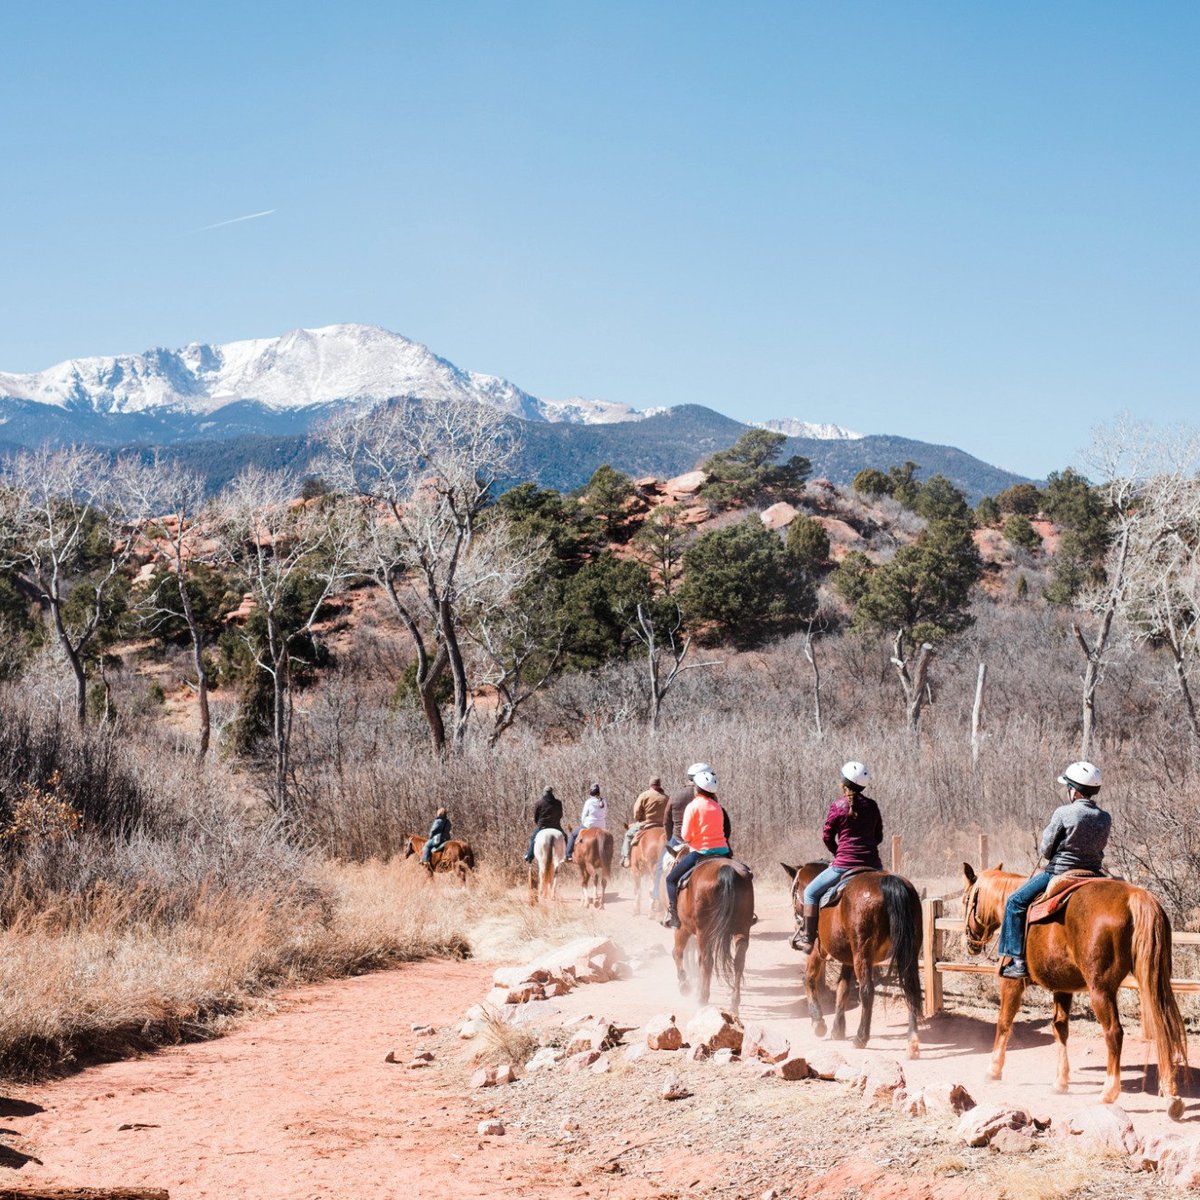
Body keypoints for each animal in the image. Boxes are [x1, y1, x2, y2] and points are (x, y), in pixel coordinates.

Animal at [672, 859, 753, 1017]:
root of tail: (725, 870)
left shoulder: (683, 927)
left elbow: (677, 953)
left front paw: (684, 986)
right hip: (742, 930)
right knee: (738, 962)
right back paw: (734, 1004)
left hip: (703, 932)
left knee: (707, 961)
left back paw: (702, 999)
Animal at [782, 864, 921, 1060]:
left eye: (794, 891)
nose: (798, 924)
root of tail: (890, 882)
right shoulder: (848, 959)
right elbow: (843, 988)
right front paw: (838, 1029)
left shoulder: (817, 949)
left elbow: (809, 979)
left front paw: (818, 1023)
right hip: (908, 952)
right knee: (910, 989)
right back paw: (912, 1043)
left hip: (862, 953)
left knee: (867, 991)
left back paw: (861, 1038)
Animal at [960, 864, 1185, 1113]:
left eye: (966, 900)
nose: (969, 943)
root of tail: (1135, 896)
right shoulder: (1063, 988)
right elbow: (1060, 1028)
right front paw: (1060, 1083)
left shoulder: (1012, 983)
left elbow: (1003, 1023)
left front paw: (993, 1070)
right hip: (1152, 979)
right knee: (1163, 1026)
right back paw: (1171, 1094)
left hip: (1101, 990)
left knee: (1114, 1032)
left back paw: (1108, 1092)